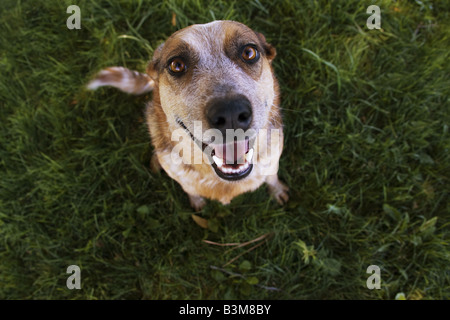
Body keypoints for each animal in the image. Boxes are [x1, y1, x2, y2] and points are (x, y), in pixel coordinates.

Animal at [87, 20, 288, 210]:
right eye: (177, 65)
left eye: (249, 52)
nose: (231, 113)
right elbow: (190, 189)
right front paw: (196, 201)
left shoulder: (272, 159)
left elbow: (272, 177)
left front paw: (277, 191)